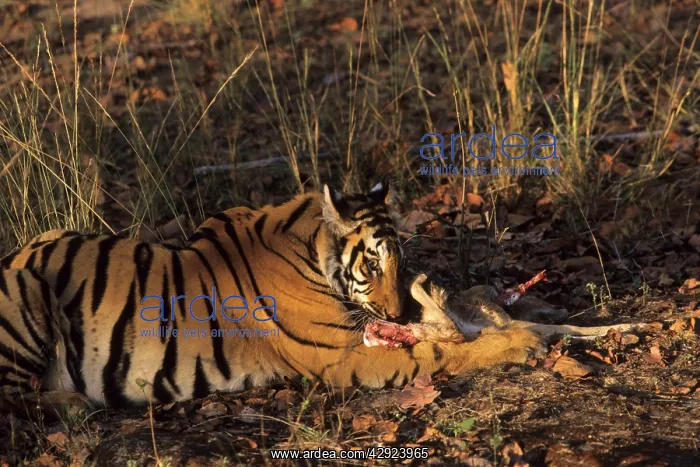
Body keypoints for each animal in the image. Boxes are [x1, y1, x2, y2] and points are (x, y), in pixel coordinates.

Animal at [0, 182, 543, 409]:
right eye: (372, 264)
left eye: (401, 263)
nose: (400, 311)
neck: (309, 247)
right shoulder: (344, 355)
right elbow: (435, 352)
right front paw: (522, 342)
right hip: (24, 289)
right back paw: (75, 405)